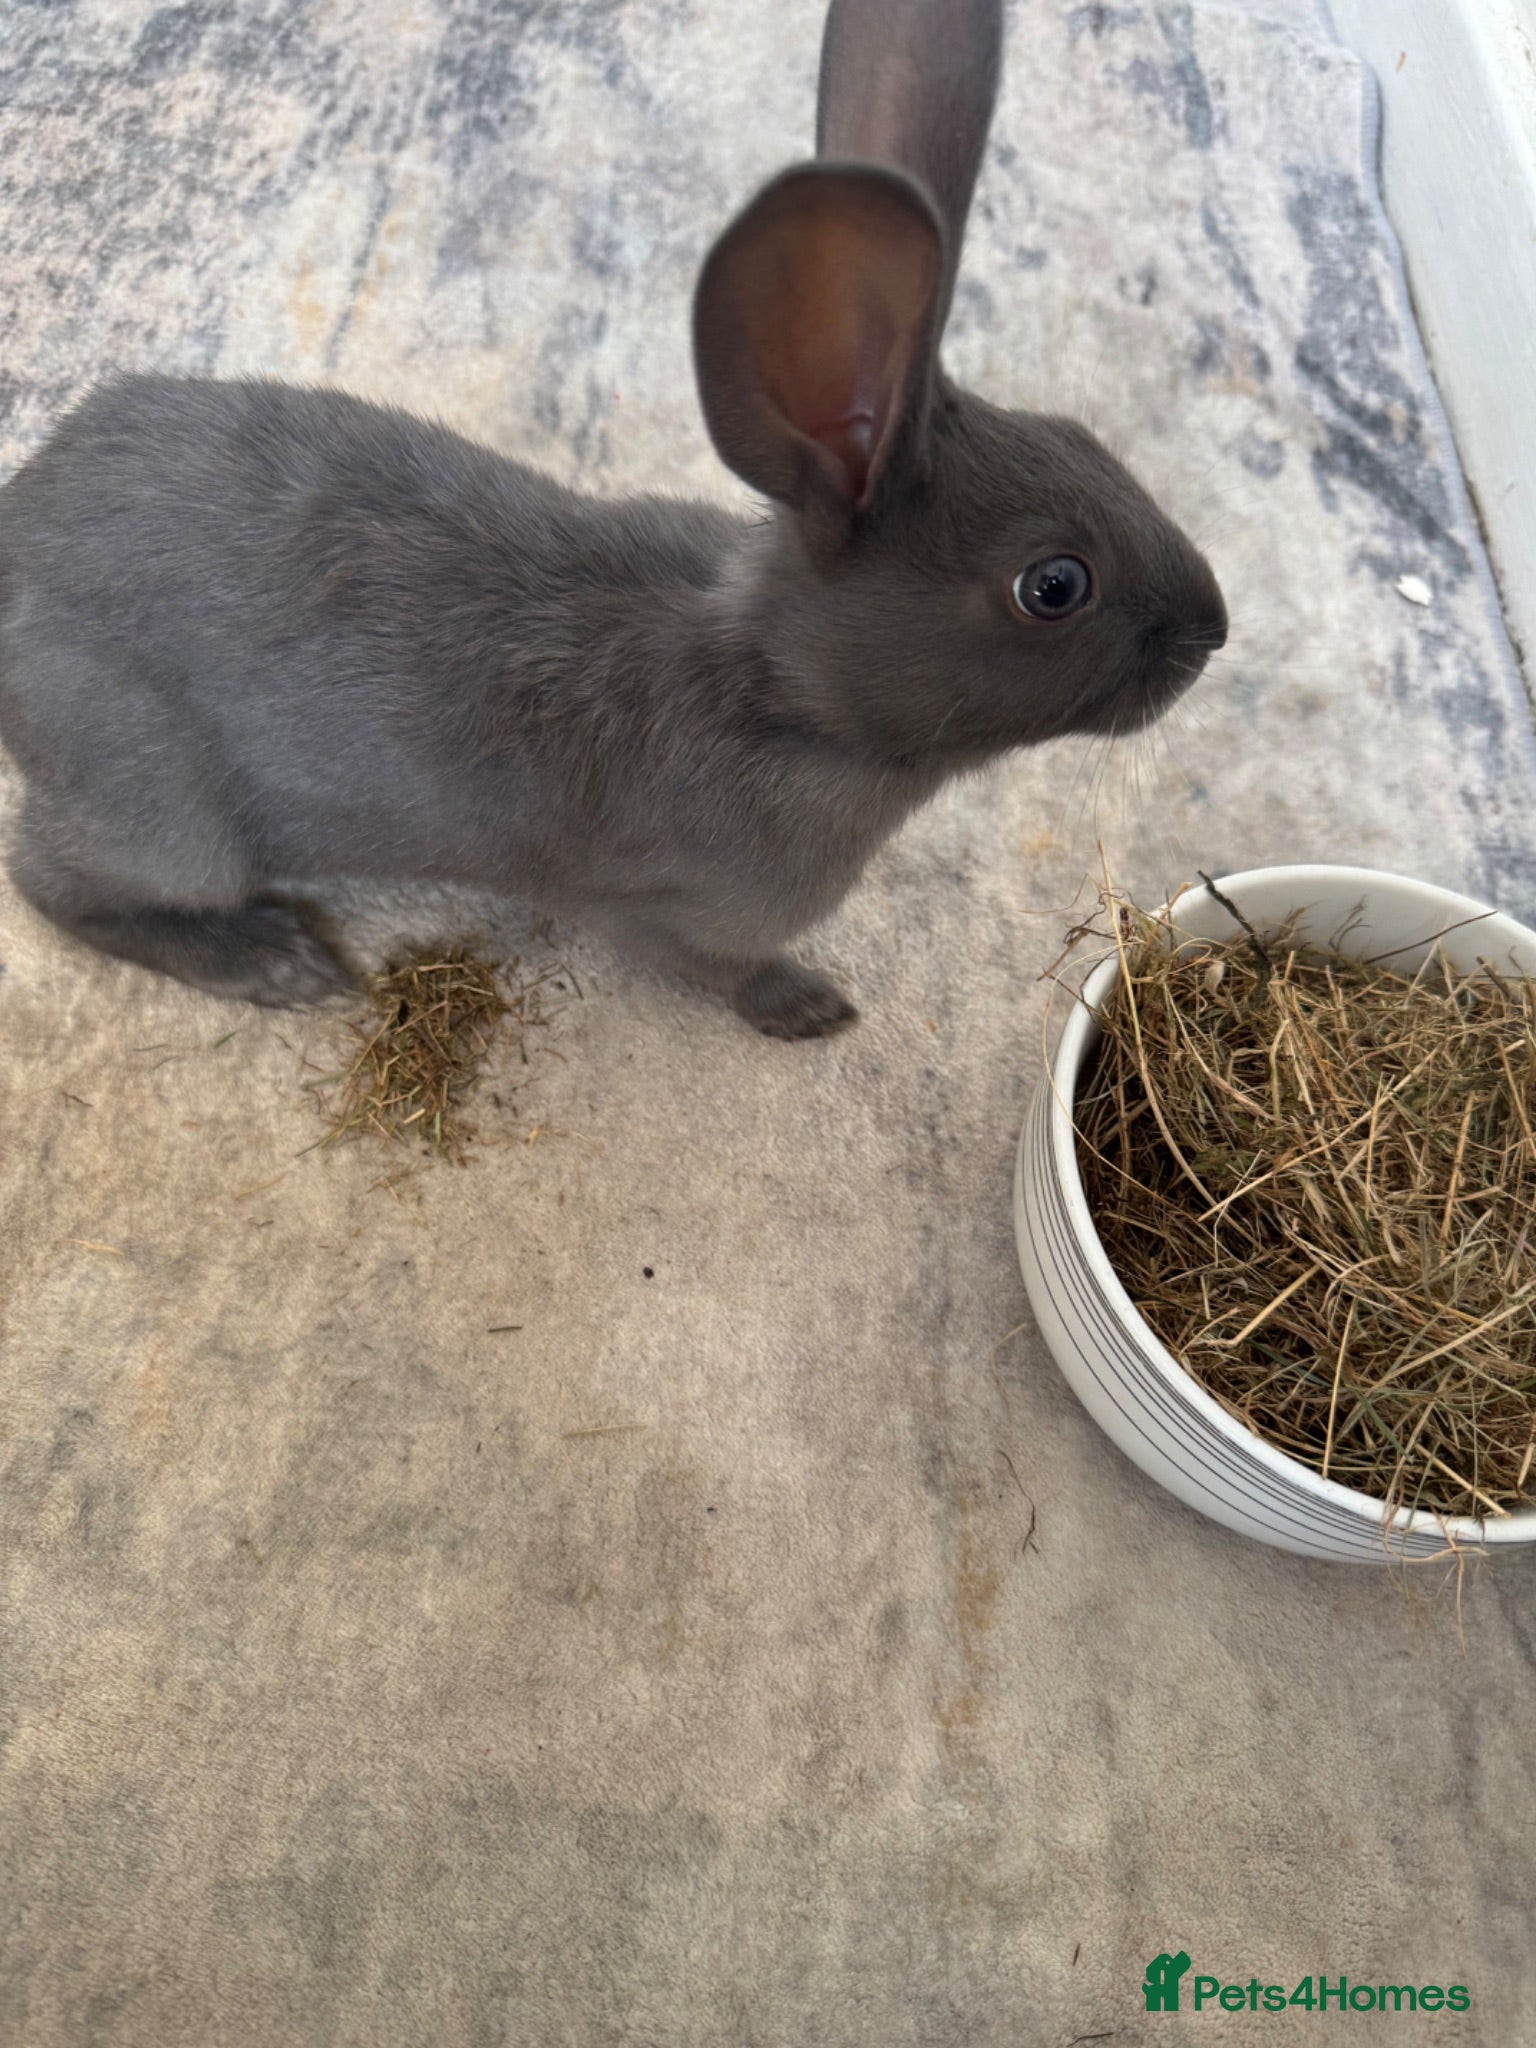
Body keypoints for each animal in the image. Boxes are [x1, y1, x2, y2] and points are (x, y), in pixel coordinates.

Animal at [0, 0, 1225, 1040]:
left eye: (1083, 436)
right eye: (1053, 586)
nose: (1214, 630)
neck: (780, 696)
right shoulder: (670, 916)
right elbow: (724, 971)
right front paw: (810, 1009)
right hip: (164, 808)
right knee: (54, 880)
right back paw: (269, 960)